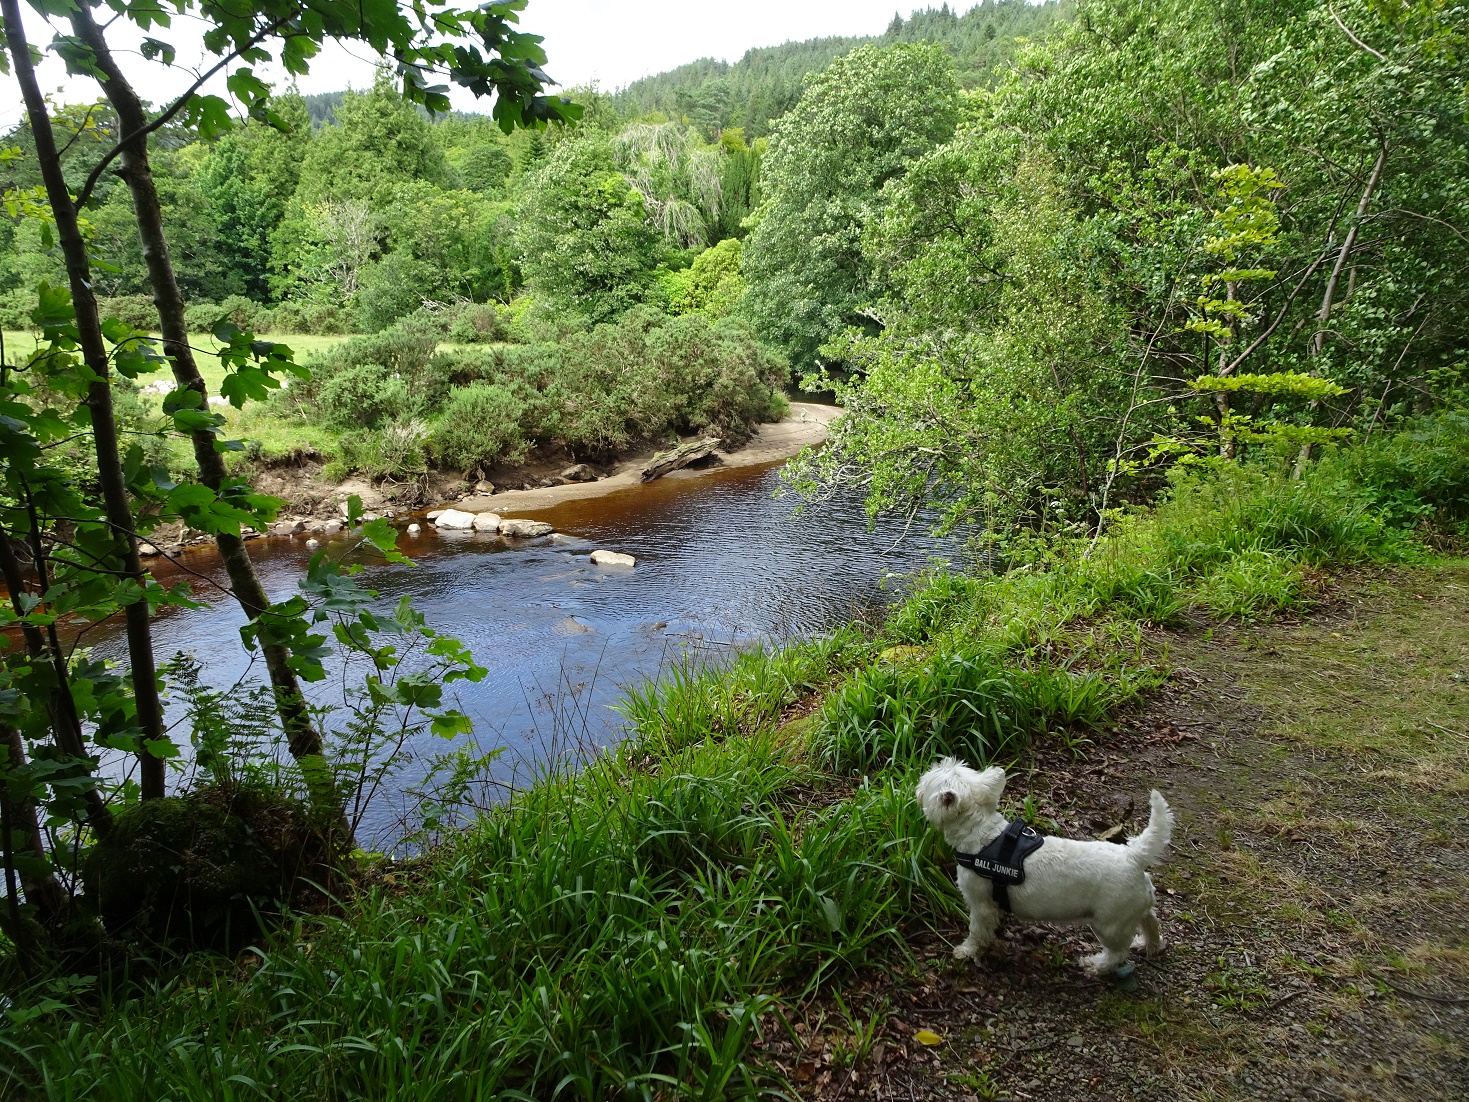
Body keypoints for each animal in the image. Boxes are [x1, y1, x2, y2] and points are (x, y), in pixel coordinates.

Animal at [916, 758, 1169, 975]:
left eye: (929, 778)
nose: (919, 780)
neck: (983, 835)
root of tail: (1134, 856)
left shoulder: (981, 903)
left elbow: (977, 930)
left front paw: (967, 951)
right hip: (1134, 906)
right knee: (1151, 920)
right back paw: (1150, 944)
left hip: (1109, 922)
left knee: (1118, 952)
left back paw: (1095, 965)